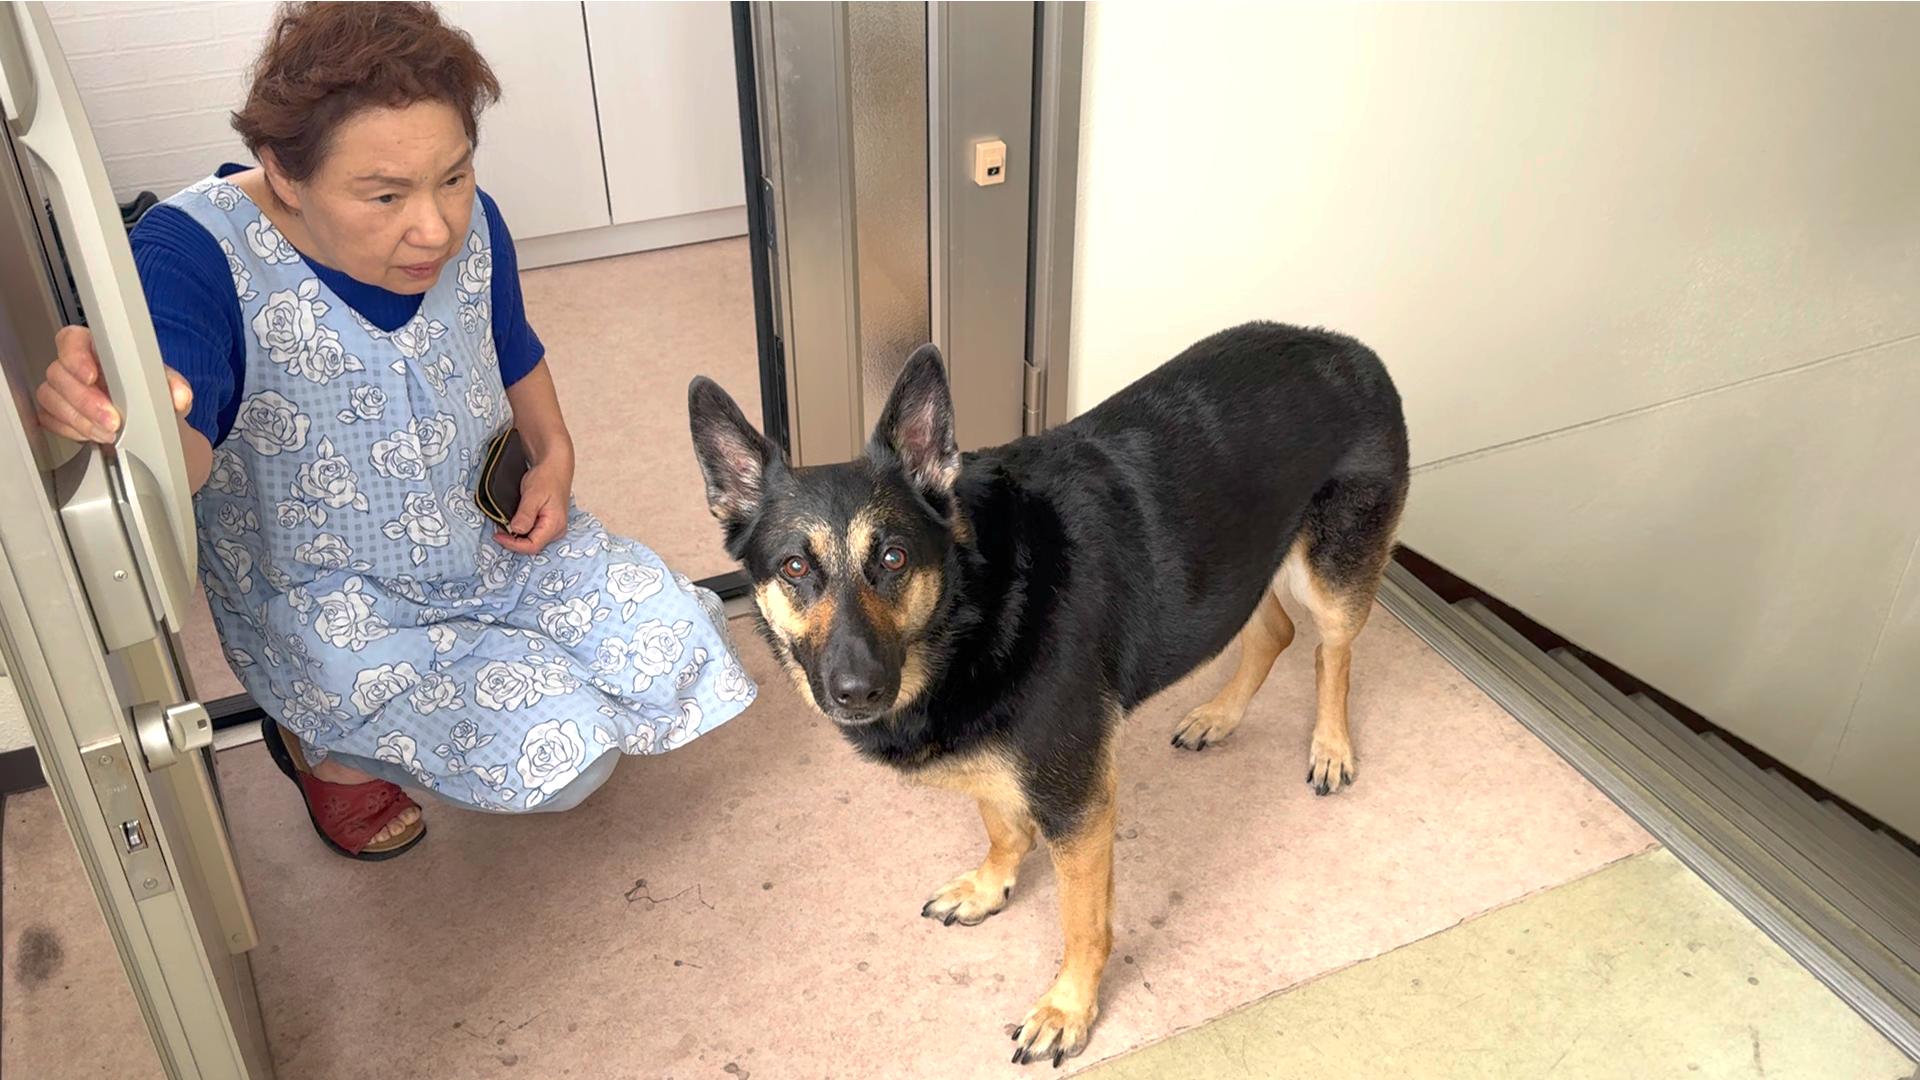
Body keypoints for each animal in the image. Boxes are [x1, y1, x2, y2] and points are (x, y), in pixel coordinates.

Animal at [687, 321, 1409, 1067]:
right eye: (794, 568)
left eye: (892, 558)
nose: (857, 692)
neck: (976, 597)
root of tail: (1347, 346)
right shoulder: (997, 753)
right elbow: (1002, 824)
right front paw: (990, 885)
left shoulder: (1077, 802)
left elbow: (1082, 921)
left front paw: (1069, 1008)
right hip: (1243, 571)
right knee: (1275, 631)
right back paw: (1219, 715)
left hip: (1332, 578)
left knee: (1332, 650)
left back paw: (1330, 746)